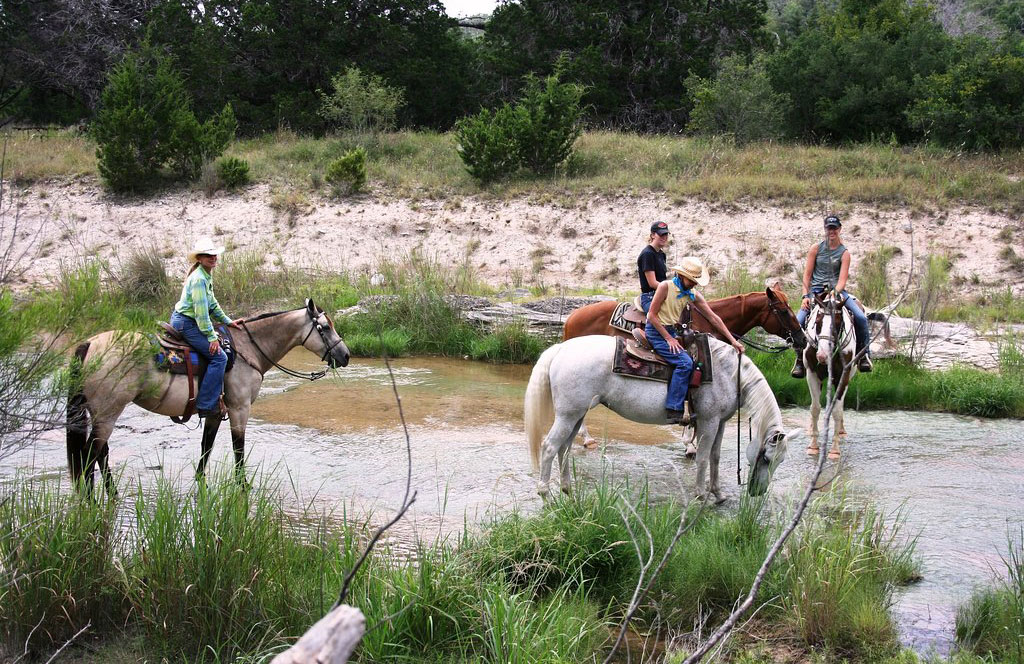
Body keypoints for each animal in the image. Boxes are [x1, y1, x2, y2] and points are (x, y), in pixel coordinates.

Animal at [66, 299, 350, 493]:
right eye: (325, 327)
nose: (345, 356)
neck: (248, 349)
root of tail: (89, 344)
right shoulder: (239, 408)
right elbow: (238, 447)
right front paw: (243, 485)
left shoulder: (214, 412)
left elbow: (206, 447)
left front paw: (200, 484)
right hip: (108, 412)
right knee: (90, 455)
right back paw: (92, 500)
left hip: (102, 413)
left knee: (101, 453)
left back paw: (111, 494)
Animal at [525, 335, 798, 503]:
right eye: (766, 458)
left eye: (781, 461)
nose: (758, 493)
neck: (729, 373)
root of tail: (561, 348)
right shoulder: (708, 421)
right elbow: (702, 458)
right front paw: (701, 494)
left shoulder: (720, 422)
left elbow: (715, 457)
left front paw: (718, 494)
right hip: (568, 415)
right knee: (549, 447)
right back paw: (545, 496)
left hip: (577, 415)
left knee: (564, 448)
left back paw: (567, 489)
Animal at [562, 286, 806, 449]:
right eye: (784, 311)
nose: (802, 339)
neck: (707, 323)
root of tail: (572, 317)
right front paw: (690, 444)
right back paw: (587, 438)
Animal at [803, 292, 855, 459]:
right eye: (817, 322)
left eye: (837, 324)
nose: (822, 356)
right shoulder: (812, 374)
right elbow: (815, 408)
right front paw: (813, 446)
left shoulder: (843, 376)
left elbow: (837, 411)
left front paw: (834, 449)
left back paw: (841, 430)